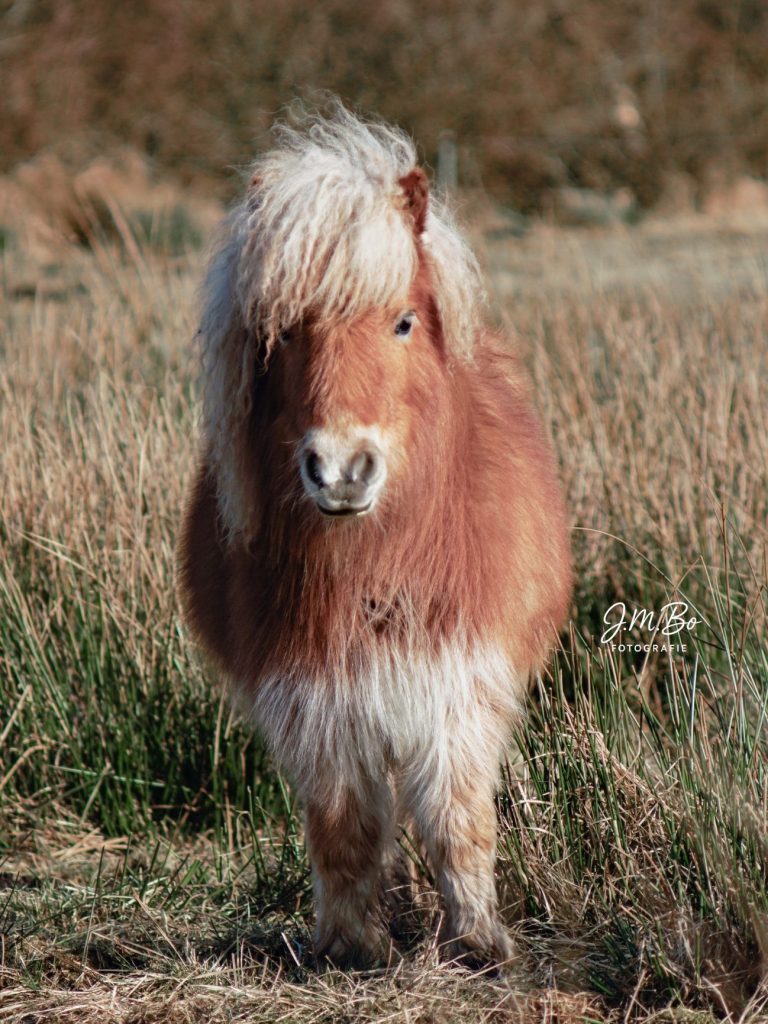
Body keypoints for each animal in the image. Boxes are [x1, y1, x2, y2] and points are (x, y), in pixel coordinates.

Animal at [178, 104, 572, 969]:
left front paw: (479, 941)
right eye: (287, 332)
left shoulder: (459, 678)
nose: (340, 470)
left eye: (403, 323)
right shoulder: (314, 694)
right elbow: (345, 826)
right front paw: (351, 945)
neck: (381, 556)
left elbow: (459, 820)